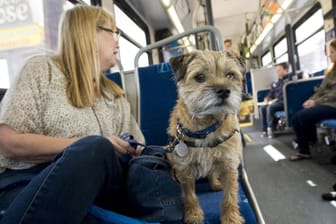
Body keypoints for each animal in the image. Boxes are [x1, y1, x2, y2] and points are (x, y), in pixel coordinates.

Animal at [167, 50, 244, 224]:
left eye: (230, 75)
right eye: (200, 77)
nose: (224, 91)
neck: (207, 126)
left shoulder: (230, 167)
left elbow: (230, 196)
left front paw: (231, 218)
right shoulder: (184, 169)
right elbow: (189, 196)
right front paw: (193, 214)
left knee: (212, 173)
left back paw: (215, 183)